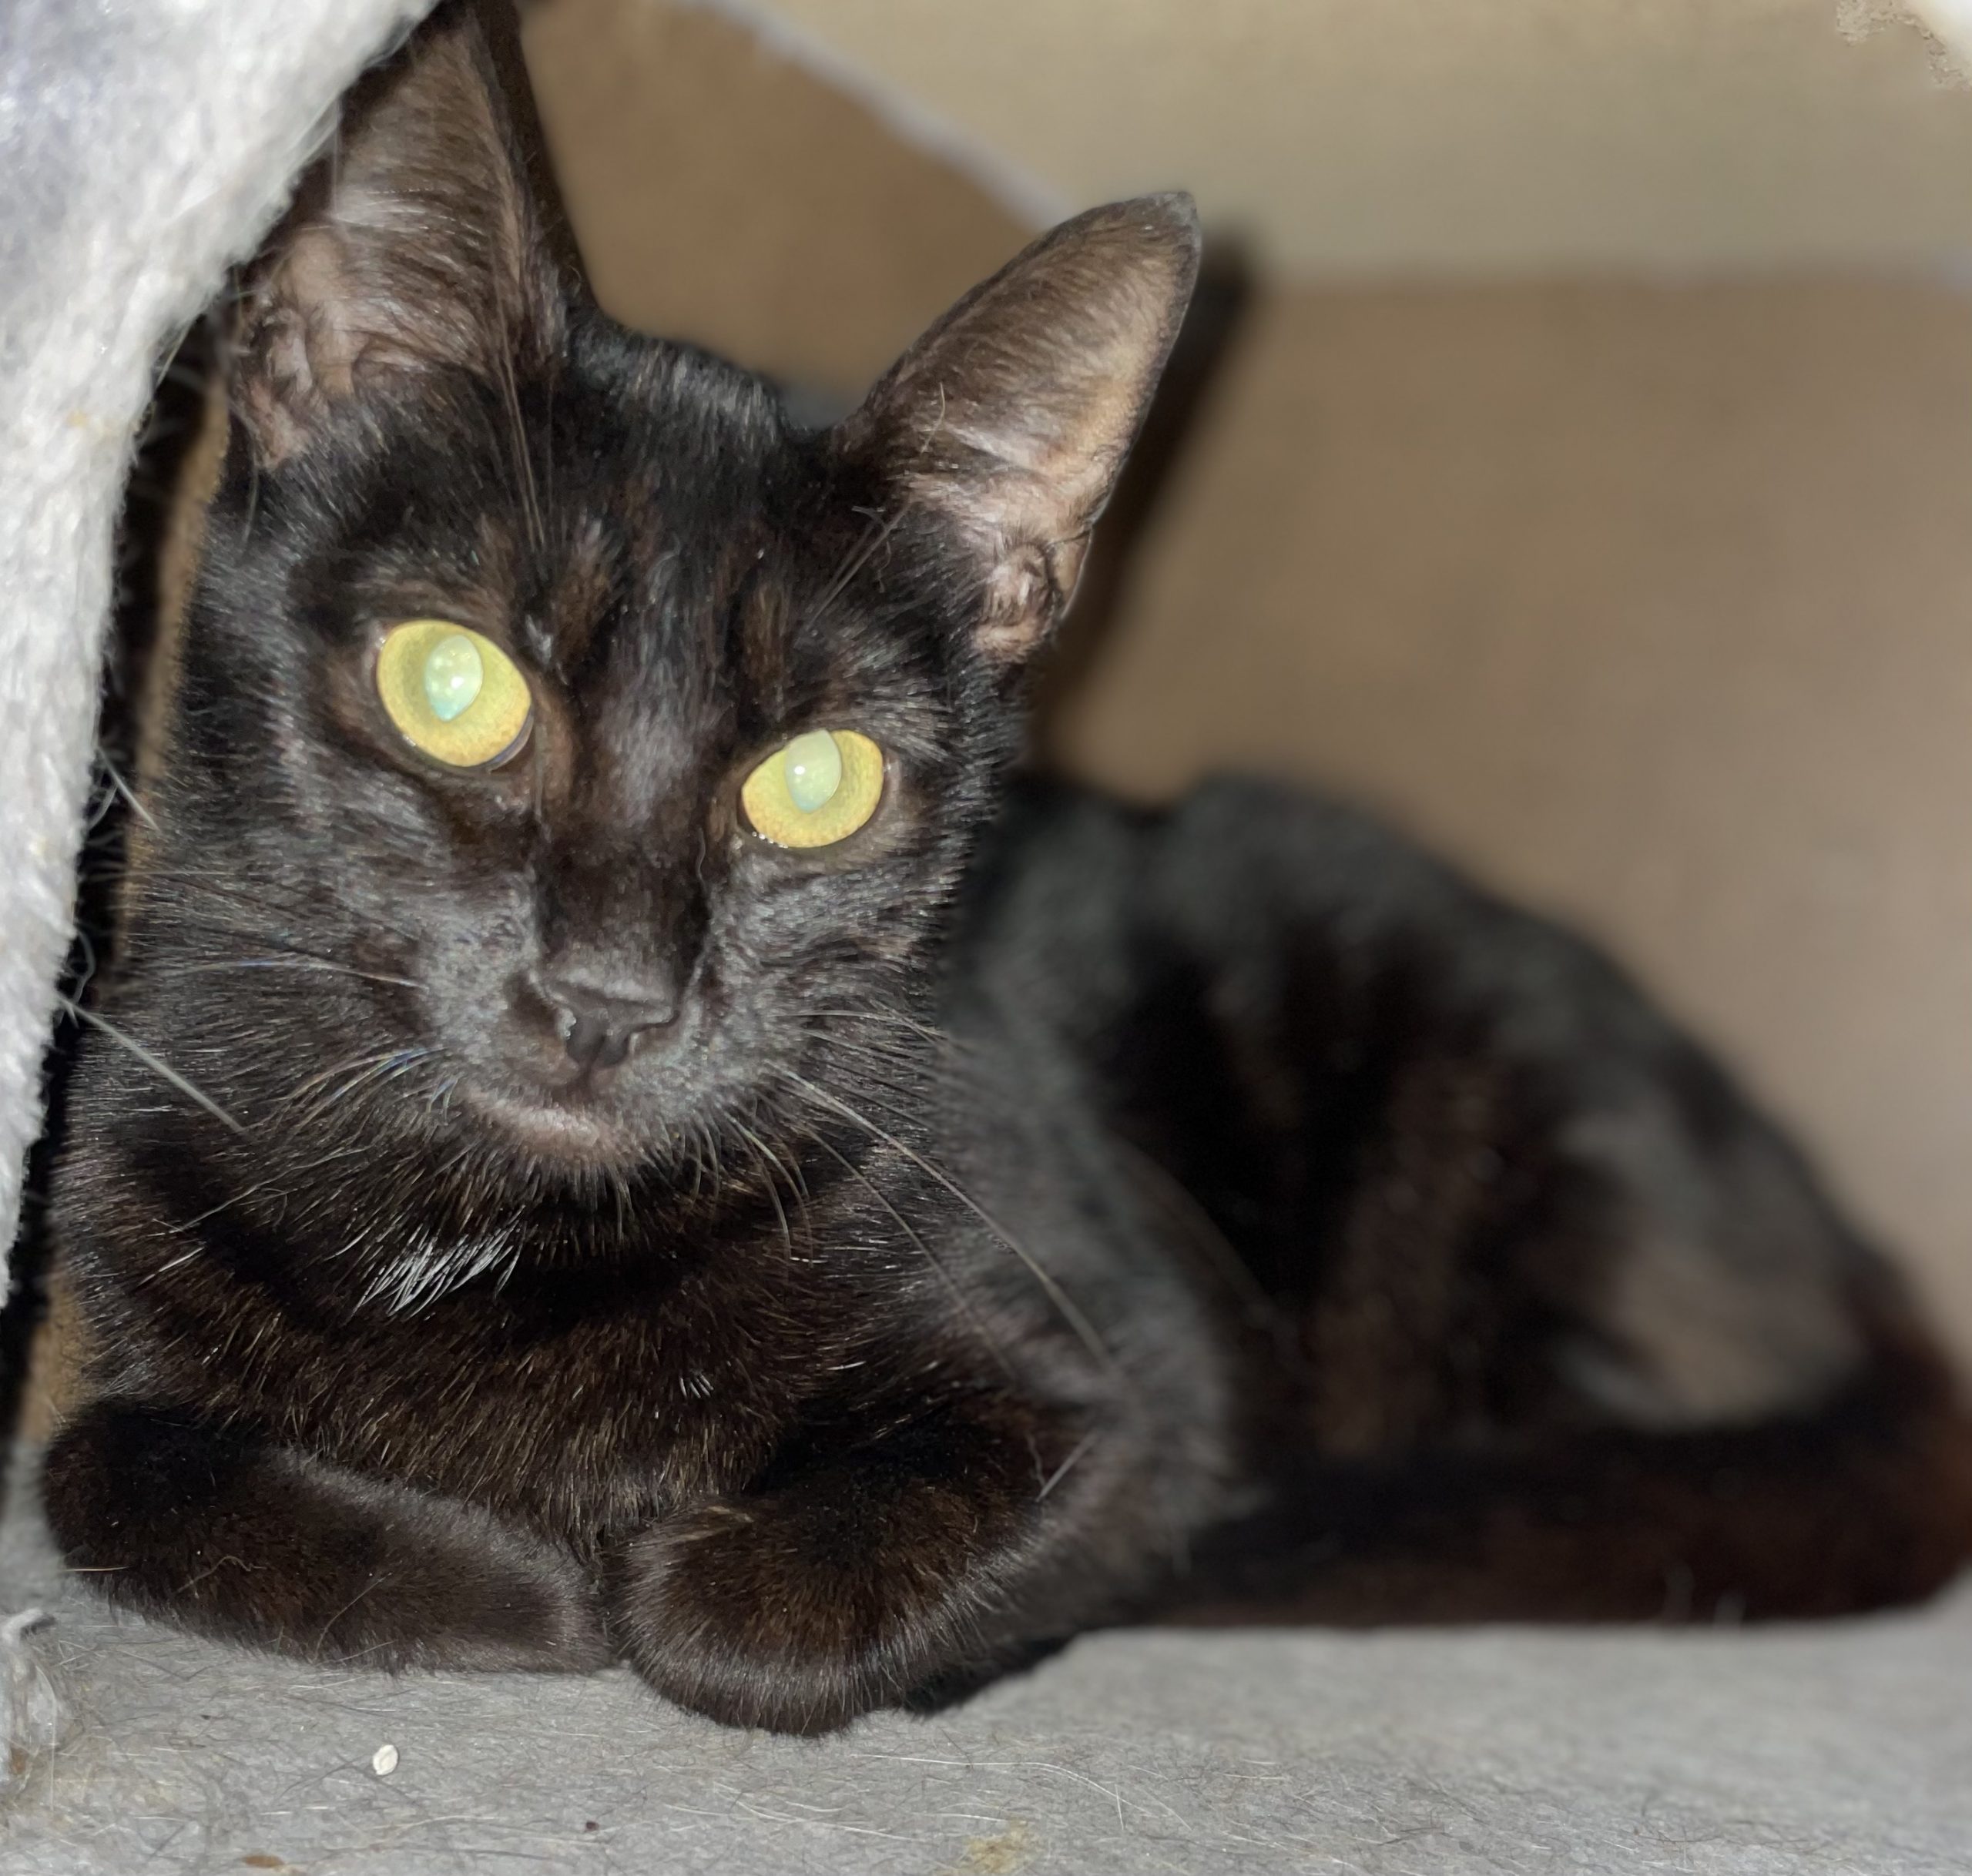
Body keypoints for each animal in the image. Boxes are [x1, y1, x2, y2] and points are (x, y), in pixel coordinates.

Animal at [37, 0, 1972, 1736]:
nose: (605, 998)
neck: (482, 1226)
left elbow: (729, 1613)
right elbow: (89, 1463)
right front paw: (493, 1574)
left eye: (817, 783)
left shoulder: (1127, 1382)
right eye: (454, 686)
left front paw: (593, 1577)